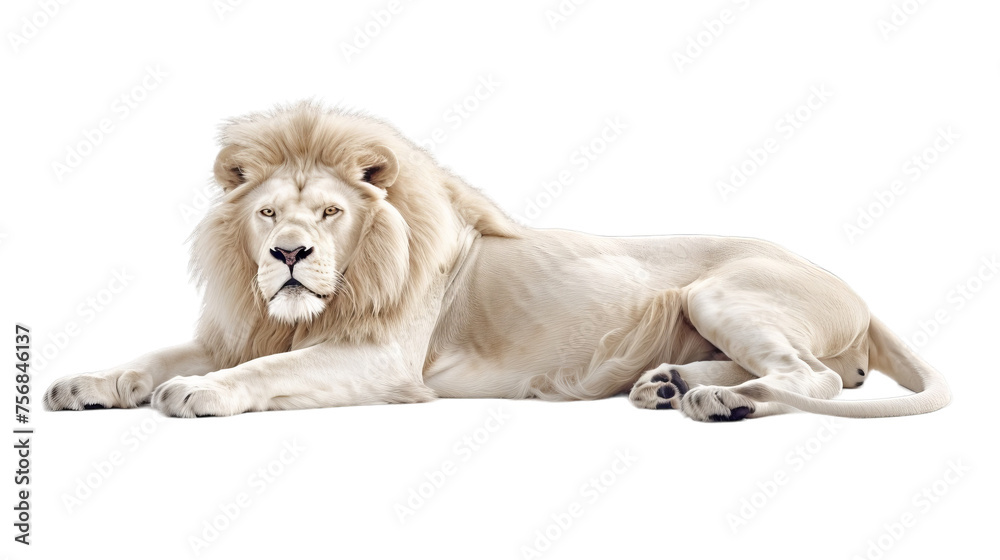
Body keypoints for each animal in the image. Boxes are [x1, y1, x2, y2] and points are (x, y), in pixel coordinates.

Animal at [43, 101, 950, 421]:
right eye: (267, 212)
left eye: (330, 213)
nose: (288, 254)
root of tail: (857, 290)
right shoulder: (239, 328)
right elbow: (151, 355)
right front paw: (84, 383)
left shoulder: (381, 359)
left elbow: (262, 373)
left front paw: (200, 392)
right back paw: (669, 385)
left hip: (722, 292)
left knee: (816, 378)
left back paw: (716, 403)